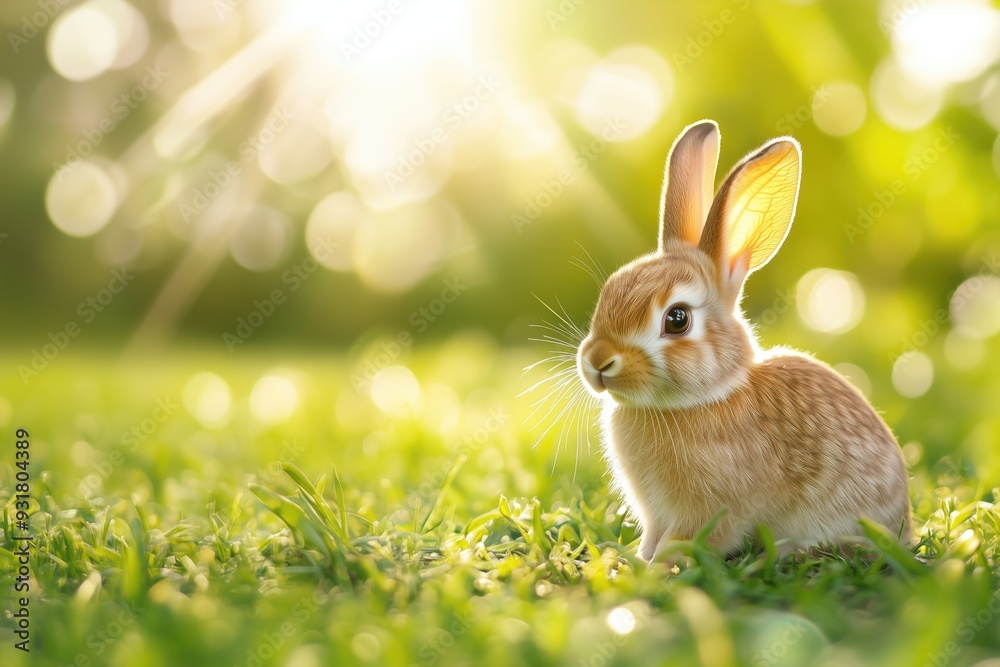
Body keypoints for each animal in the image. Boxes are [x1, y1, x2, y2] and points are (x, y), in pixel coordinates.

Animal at [576, 120, 911, 563]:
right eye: (610, 289)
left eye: (677, 319)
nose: (598, 360)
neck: (704, 399)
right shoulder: (657, 515)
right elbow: (651, 538)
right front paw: (634, 558)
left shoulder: (710, 511)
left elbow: (689, 541)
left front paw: (657, 568)